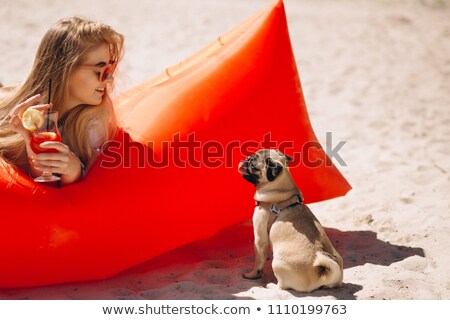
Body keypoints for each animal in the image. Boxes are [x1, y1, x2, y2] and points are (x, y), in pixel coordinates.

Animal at [239, 150, 342, 292]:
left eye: (253, 163)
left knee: (282, 286)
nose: (246, 159)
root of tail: (320, 275)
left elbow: (258, 261)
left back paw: (272, 285)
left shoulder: (260, 237)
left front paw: (252, 275)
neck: (280, 192)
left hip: (277, 263)